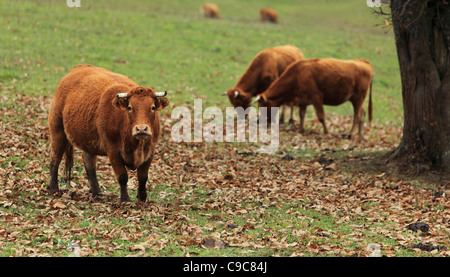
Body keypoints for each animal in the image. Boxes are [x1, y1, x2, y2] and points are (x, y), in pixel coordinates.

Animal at [47, 64, 170, 203]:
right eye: (130, 108)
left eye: (153, 107)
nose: (141, 129)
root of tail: (79, 67)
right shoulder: (112, 150)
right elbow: (122, 176)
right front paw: (125, 200)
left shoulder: (150, 150)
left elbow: (143, 177)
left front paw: (142, 198)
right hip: (57, 130)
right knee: (55, 158)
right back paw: (53, 188)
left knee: (89, 161)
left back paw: (96, 192)